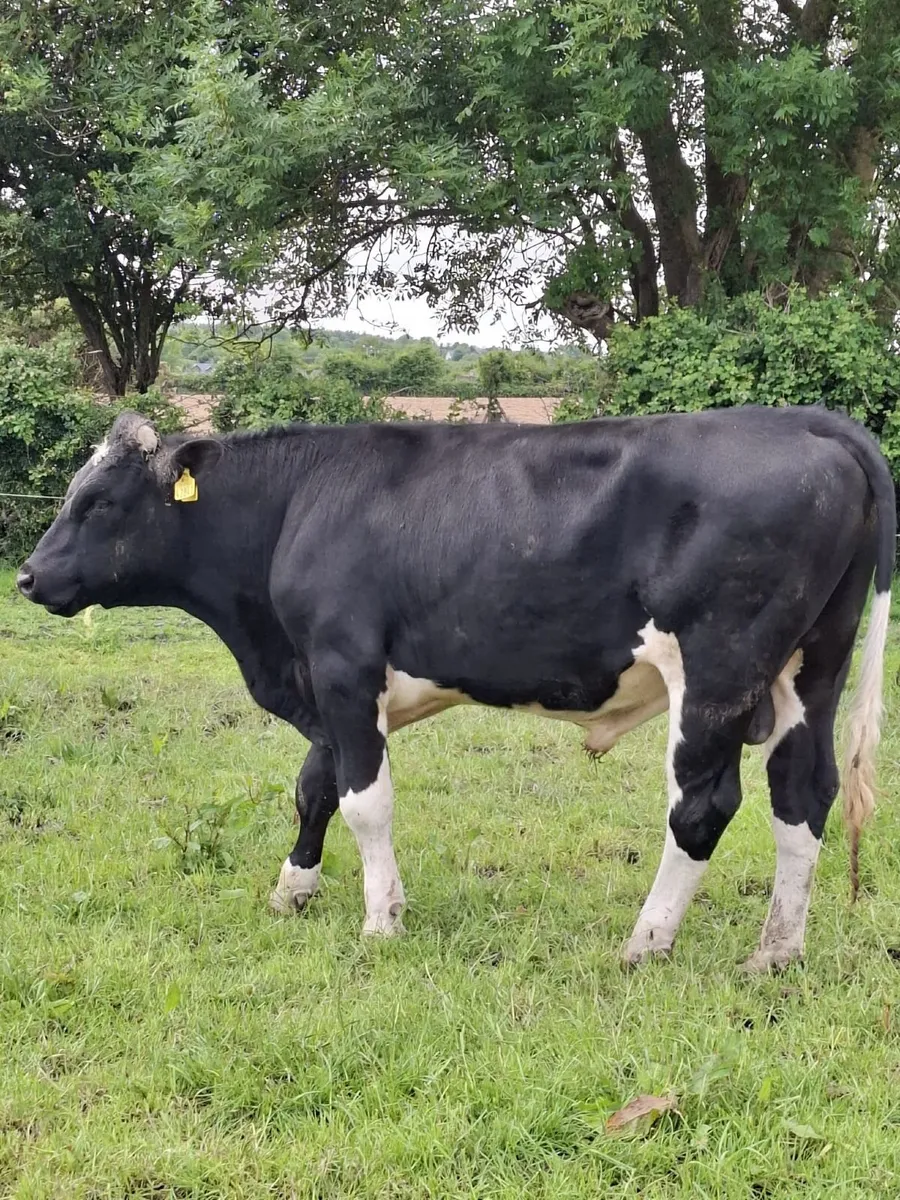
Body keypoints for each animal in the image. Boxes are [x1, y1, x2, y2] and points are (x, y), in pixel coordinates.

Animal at [16, 405, 895, 970]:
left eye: (100, 501)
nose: (27, 575)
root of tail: (807, 420)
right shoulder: (332, 686)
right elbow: (315, 786)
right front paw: (295, 891)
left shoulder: (341, 664)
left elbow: (365, 801)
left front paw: (379, 923)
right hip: (811, 666)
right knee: (803, 791)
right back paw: (776, 951)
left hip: (718, 669)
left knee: (703, 806)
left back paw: (647, 942)